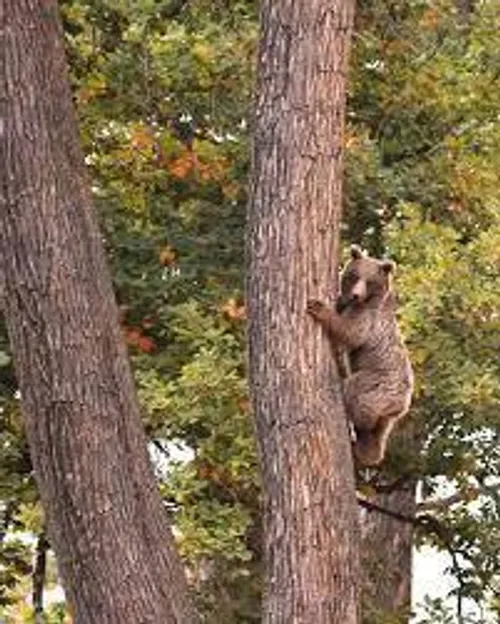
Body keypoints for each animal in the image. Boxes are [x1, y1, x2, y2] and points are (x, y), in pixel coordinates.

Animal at [306, 246, 412, 466]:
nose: (355, 295)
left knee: (355, 393)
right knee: (378, 434)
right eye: (355, 276)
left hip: (378, 383)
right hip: (387, 413)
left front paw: (318, 307)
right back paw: (367, 450)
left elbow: (351, 332)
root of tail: (401, 406)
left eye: (370, 281)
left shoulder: (369, 318)